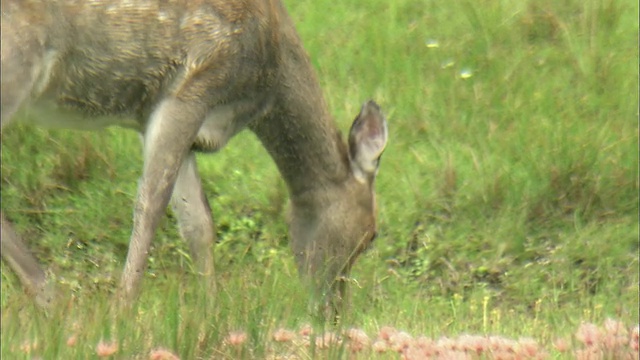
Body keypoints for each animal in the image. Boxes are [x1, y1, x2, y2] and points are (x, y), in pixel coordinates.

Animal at [0, 0, 388, 316]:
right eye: (371, 235)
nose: (333, 312)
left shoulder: (155, 122)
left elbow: (198, 222)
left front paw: (211, 310)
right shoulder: (191, 88)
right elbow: (151, 205)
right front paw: (122, 310)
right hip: (16, 58)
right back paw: (50, 296)